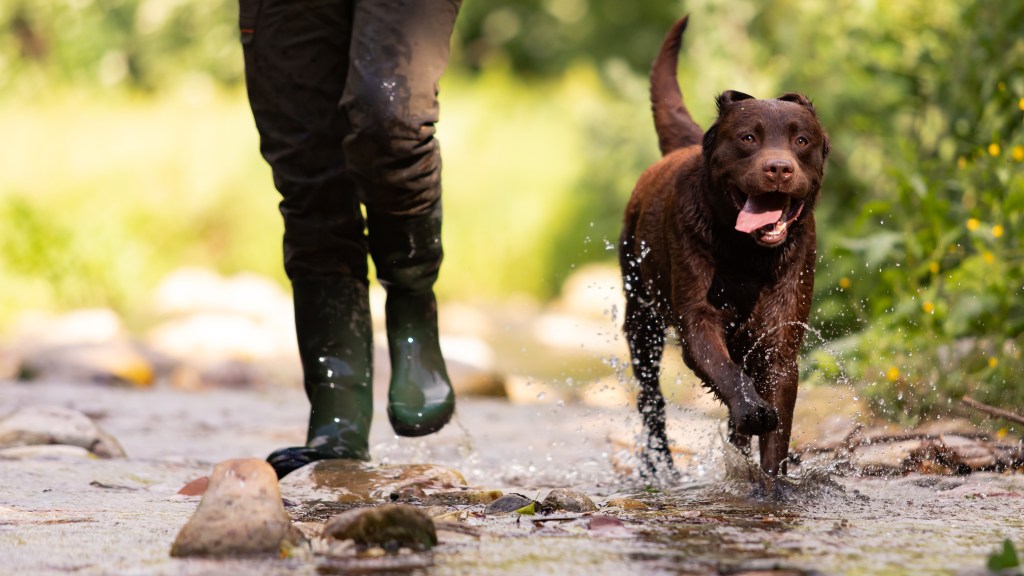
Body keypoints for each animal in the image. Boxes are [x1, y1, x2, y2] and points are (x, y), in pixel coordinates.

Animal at [618, 16, 827, 475]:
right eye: (748, 138)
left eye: (801, 141)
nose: (779, 168)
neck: (747, 255)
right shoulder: (697, 318)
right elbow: (727, 373)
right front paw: (752, 410)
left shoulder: (780, 339)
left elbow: (776, 431)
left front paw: (771, 482)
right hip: (641, 318)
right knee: (651, 401)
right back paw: (661, 466)